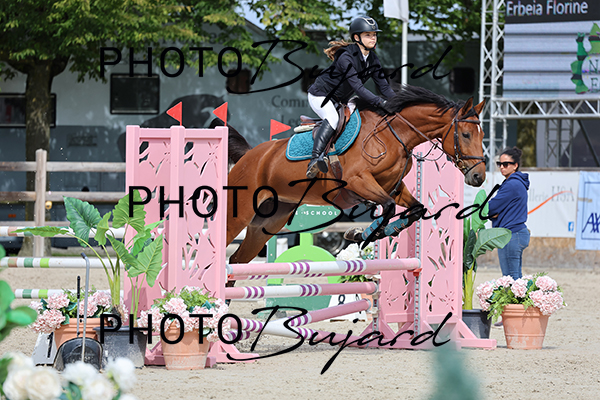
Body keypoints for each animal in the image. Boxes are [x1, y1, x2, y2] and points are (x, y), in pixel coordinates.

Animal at [224, 85, 486, 265]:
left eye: (482, 135)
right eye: (465, 134)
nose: (479, 177)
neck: (394, 135)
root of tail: (248, 157)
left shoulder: (392, 186)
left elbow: (416, 209)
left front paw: (370, 233)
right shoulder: (358, 182)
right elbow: (388, 207)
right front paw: (363, 234)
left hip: (268, 221)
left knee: (237, 260)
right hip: (239, 214)